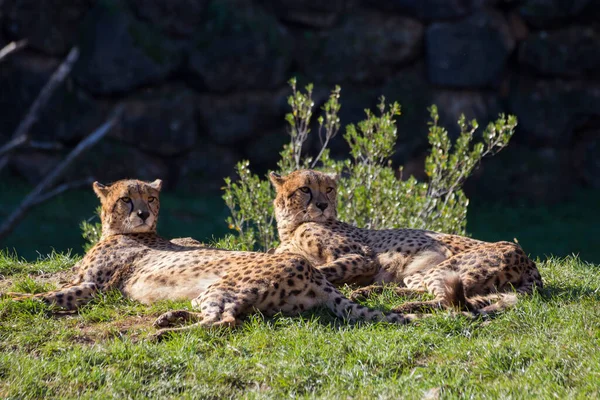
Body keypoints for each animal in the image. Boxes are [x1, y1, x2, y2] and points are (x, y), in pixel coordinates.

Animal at [7, 179, 434, 338]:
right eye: (127, 198)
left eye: (151, 198)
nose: (143, 213)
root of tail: (312, 272)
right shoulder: (81, 280)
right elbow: (45, 286)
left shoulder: (93, 287)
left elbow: (41, 297)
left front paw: (11, 301)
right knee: (229, 317)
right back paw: (169, 318)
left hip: (222, 286)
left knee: (223, 321)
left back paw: (165, 331)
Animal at [270, 170, 540, 314]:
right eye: (305, 189)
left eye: (329, 189)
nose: (322, 206)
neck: (290, 227)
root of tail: (526, 258)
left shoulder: (362, 258)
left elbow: (322, 268)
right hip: (421, 272)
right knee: (424, 290)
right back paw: (370, 292)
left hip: (442, 267)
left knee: (446, 301)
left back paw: (401, 306)